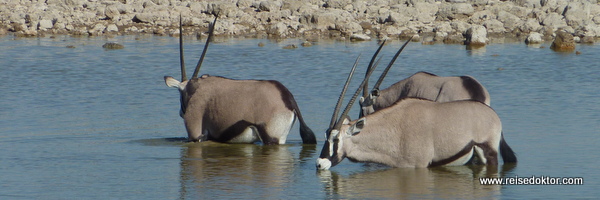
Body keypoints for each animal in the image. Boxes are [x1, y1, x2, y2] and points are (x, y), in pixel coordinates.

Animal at [162, 15, 316, 144]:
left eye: (181, 94)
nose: (181, 112)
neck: (195, 88)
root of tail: (288, 98)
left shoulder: (195, 135)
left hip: (272, 138)